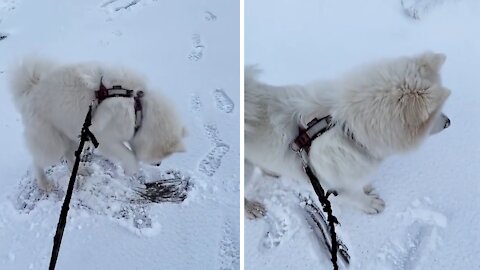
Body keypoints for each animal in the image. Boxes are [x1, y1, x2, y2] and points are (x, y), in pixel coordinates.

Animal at [10, 57, 188, 192]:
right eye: (161, 156)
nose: (159, 164)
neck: (138, 107)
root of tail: (31, 89)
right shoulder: (106, 138)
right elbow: (128, 155)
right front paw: (131, 170)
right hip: (52, 143)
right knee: (38, 161)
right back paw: (44, 183)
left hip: (71, 131)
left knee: (69, 156)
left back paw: (82, 170)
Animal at [246, 51, 452, 218]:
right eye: (435, 114)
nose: (448, 122)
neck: (346, 126)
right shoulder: (334, 185)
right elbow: (357, 197)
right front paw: (372, 204)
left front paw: (367, 187)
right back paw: (251, 209)